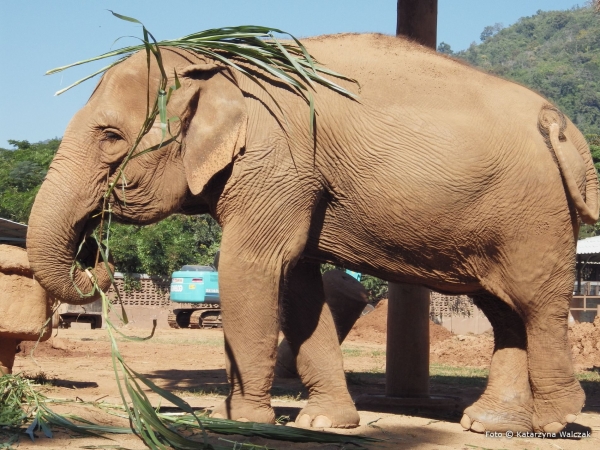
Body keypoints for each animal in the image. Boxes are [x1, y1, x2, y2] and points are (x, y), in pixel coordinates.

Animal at [29, 31, 600, 432]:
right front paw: (324, 422)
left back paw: (555, 420)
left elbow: (251, 267)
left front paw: (240, 419)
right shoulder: (291, 176)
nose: (96, 253)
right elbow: (300, 283)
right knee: (503, 309)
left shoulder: (277, 158)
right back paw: (491, 424)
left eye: (110, 136)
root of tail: (561, 126)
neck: (221, 65)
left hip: (534, 212)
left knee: (535, 303)